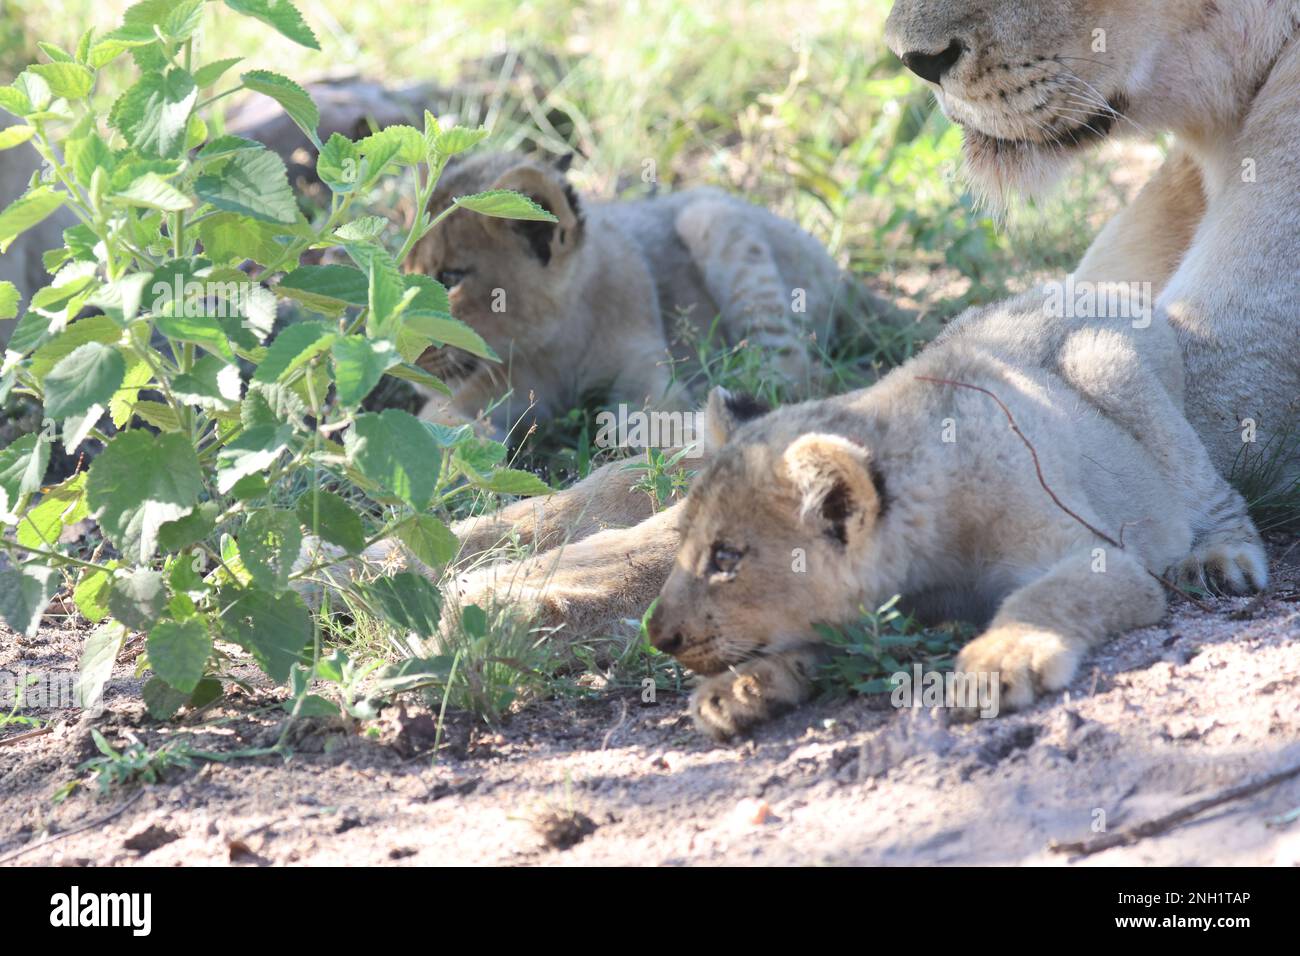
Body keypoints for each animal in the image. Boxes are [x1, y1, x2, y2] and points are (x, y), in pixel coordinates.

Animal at [403, 151, 884, 438]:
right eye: (405, 270)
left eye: (450, 277)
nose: (395, 342)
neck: (551, 346)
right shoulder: (471, 393)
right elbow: (438, 424)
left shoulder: (652, 377)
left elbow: (636, 415)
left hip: (710, 214)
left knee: (794, 370)